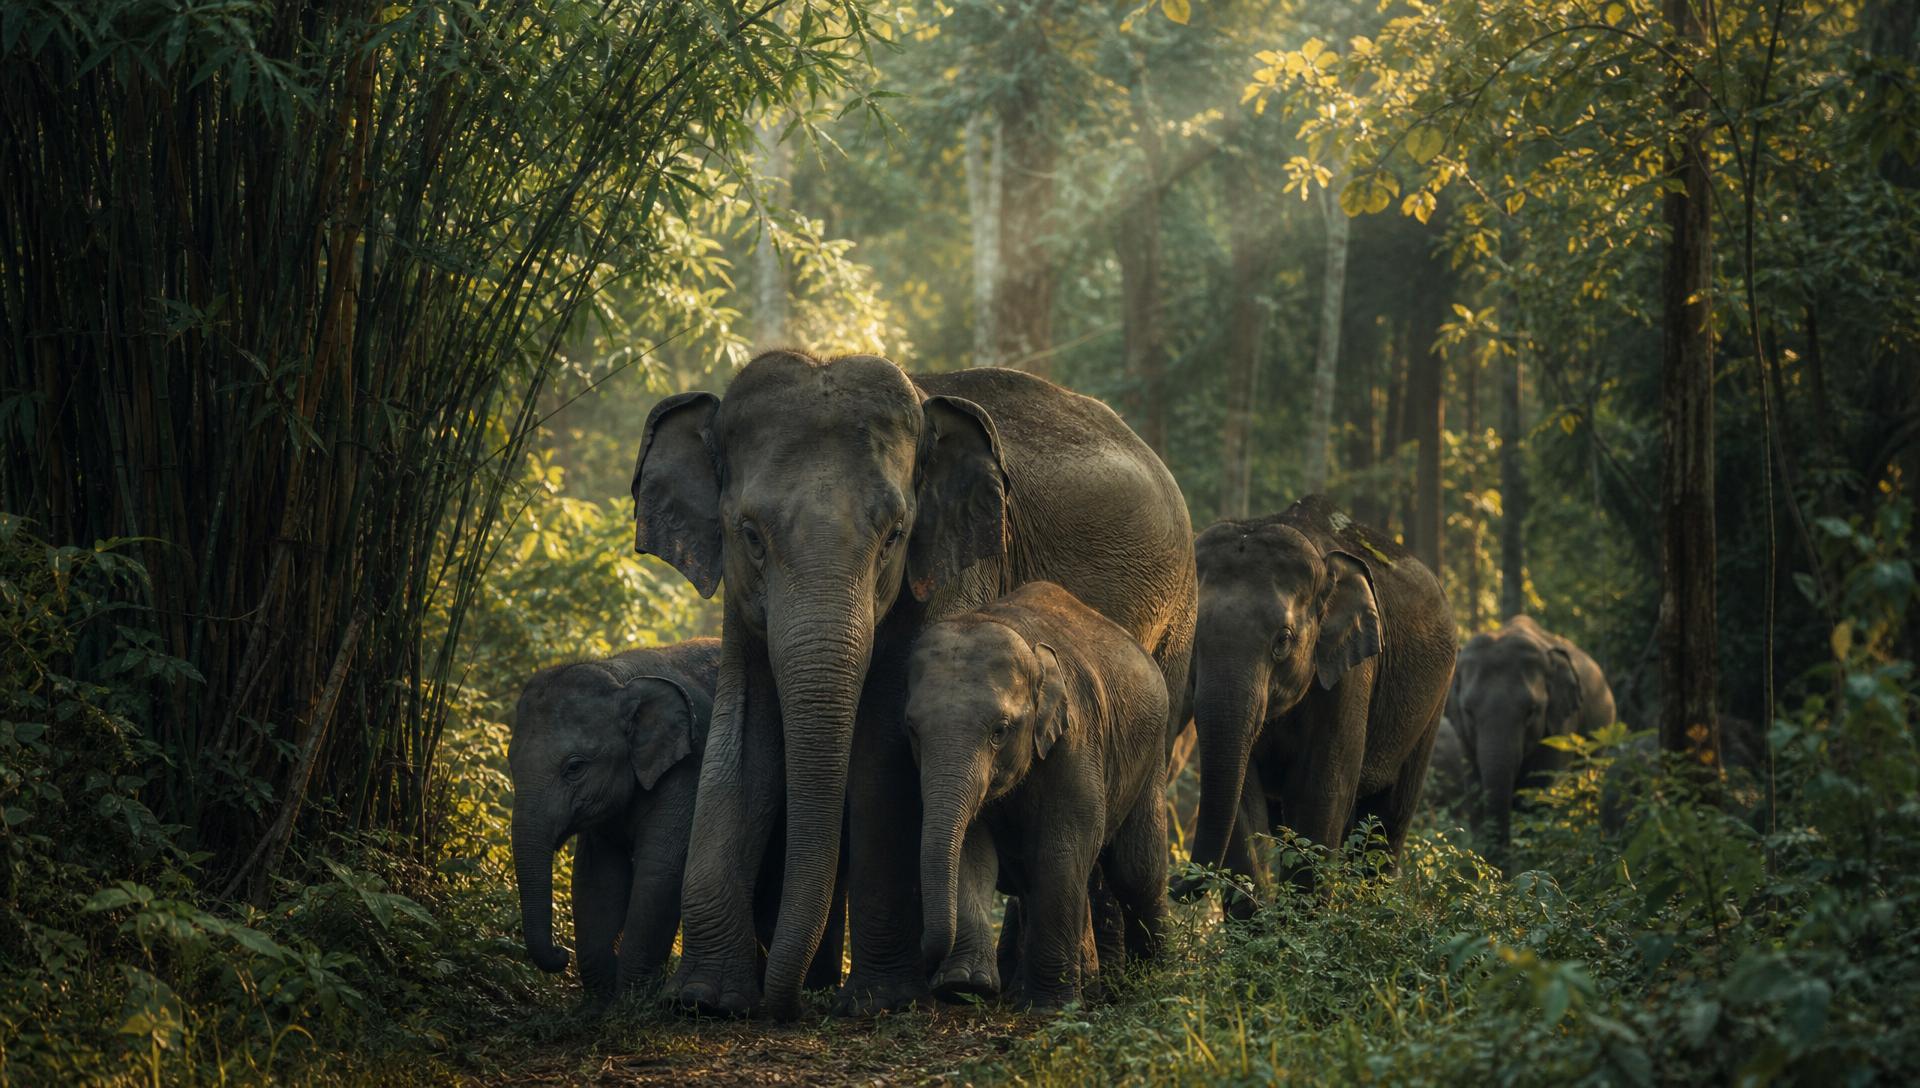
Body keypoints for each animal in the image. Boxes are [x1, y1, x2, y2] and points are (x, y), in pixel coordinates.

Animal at [507, 639, 844, 1004]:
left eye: (574, 767)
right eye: (511, 764)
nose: (560, 953)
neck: (619, 677)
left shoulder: (688, 770)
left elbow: (660, 872)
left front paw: (632, 1001)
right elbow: (596, 878)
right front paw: (600, 1003)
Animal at [906, 581, 1170, 1010]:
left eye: (999, 730)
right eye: (912, 729)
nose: (927, 962)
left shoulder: (1075, 737)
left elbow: (1062, 846)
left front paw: (1048, 1006)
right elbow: (971, 848)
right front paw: (965, 986)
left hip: (1150, 753)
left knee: (1136, 870)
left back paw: (1156, 977)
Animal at [1179, 496, 1455, 905]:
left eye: (1283, 640)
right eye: (1193, 637)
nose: (1176, 885)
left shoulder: (1350, 674)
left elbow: (1321, 789)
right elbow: (1244, 799)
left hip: (1432, 706)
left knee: (1389, 817)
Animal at [1449, 615, 1616, 845]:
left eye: (1531, 710)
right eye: (1468, 711)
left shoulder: (1562, 725)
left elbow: (1540, 790)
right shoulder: (1463, 737)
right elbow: (1474, 793)